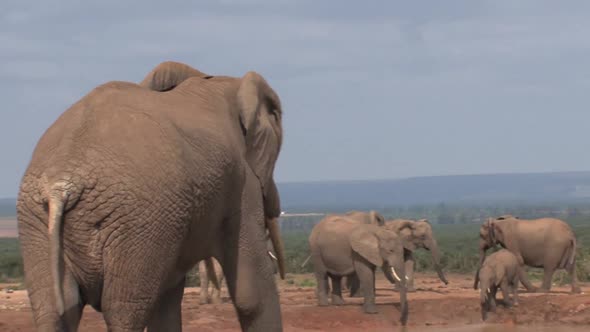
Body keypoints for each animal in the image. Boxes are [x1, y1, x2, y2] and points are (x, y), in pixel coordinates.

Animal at [16, 62, 286, 332]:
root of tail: (61, 182)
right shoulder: (241, 184)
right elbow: (252, 296)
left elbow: (166, 302)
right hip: (136, 220)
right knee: (125, 309)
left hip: (38, 219)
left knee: (53, 309)